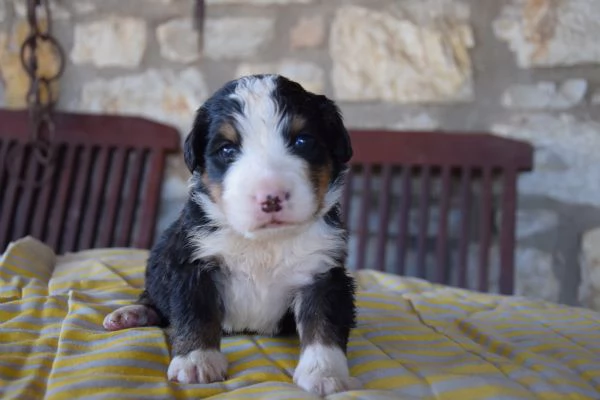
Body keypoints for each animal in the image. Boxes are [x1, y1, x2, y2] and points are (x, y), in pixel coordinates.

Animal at [103, 73, 360, 396]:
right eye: (227, 150)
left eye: (302, 141)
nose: (270, 197)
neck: (264, 244)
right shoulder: (192, 260)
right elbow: (195, 312)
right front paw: (196, 360)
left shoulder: (323, 271)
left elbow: (324, 323)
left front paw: (324, 373)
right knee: (154, 298)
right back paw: (131, 314)